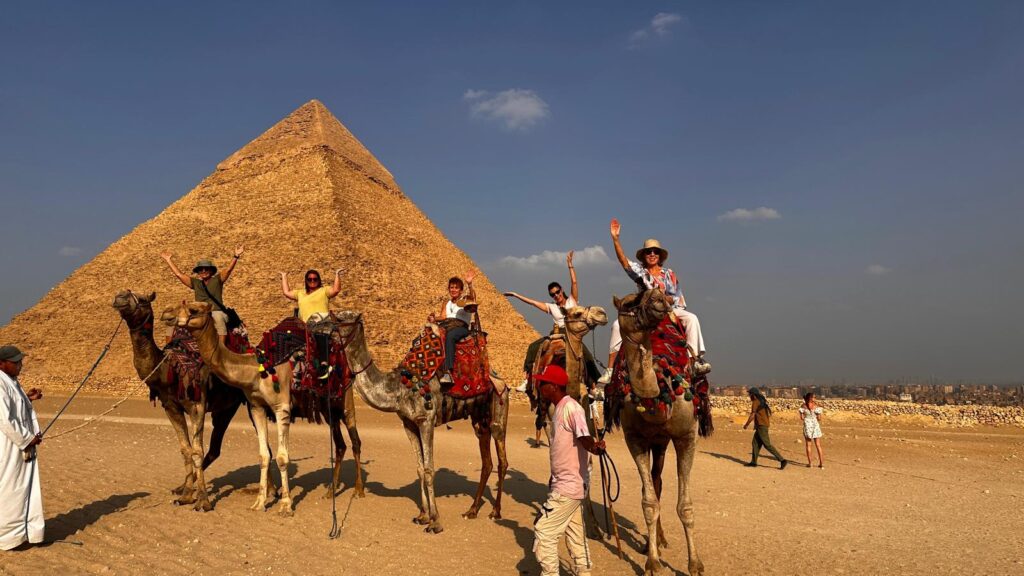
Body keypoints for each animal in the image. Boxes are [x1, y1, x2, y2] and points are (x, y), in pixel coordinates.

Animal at [111, 289, 246, 508]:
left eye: (142, 299)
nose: (120, 296)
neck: (169, 369)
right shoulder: (171, 407)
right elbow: (185, 450)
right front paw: (186, 495)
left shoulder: (197, 405)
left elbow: (197, 451)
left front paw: (203, 500)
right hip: (223, 407)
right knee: (214, 449)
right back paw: (181, 487)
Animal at [174, 297, 366, 512]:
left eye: (193, 310)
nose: (172, 318)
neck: (257, 370)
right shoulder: (256, 408)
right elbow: (264, 456)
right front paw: (259, 503)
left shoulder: (282, 408)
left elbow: (282, 457)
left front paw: (285, 505)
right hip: (327, 407)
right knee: (340, 445)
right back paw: (329, 492)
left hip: (346, 397)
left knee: (355, 440)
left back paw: (359, 490)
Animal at [333, 309, 509, 532]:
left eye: (342, 320)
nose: (325, 331)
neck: (399, 388)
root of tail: (499, 377)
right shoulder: (409, 424)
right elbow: (418, 468)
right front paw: (423, 515)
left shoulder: (426, 420)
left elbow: (428, 469)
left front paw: (435, 521)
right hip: (479, 420)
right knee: (487, 462)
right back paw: (472, 510)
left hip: (499, 408)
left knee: (502, 460)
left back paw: (495, 511)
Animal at [606, 286, 712, 573]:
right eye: (629, 303)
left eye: (659, 296)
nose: (659, 298)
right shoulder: (634, 438)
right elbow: (648, 502)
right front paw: (652, 562)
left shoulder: (687, 437)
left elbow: (685, 506)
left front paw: (695, 563)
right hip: (656, 440)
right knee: (654, 483)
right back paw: (652, 543)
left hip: (664, 441)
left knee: (658, 480)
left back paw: (661, 539)